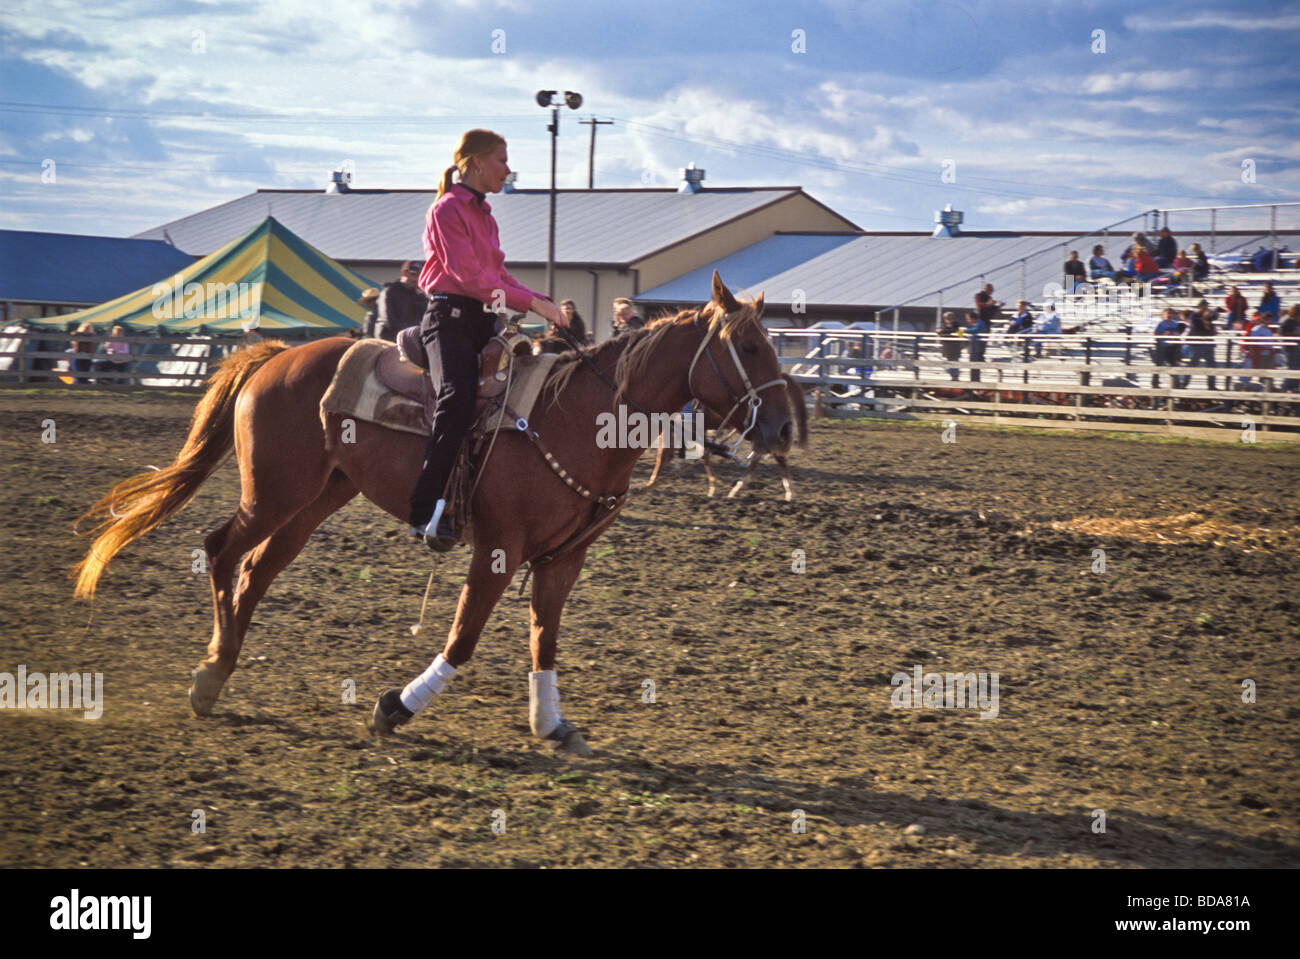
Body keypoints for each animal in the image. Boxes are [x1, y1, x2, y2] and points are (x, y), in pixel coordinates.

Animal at [76, 270, 785, 753]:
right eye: (750, 348)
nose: (782, 424)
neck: (575, 414)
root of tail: (277, 355)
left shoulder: (565, 557)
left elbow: (545, 637)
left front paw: (550, 722)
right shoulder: (498, 548)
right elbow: (464, 638)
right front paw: (396, 707)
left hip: (317, 498)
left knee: (255, 571)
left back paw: (220, 670)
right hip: (274, 492)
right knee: (223, 551)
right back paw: (209, 675)